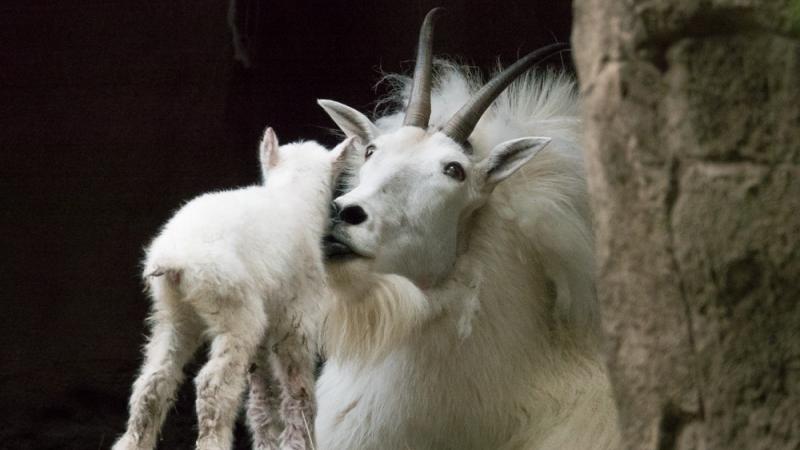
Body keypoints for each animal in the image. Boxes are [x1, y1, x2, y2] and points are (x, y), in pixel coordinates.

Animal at [112, 129, 354, 450]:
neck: (292, 197)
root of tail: (173, 259)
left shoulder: (267, 328)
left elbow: (263, 395)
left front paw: (268, 442)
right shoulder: (296, 318)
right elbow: (298, 389)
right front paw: (299, 440)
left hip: (173, 314)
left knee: (153, 381)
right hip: (234, 310)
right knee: (213, 385)